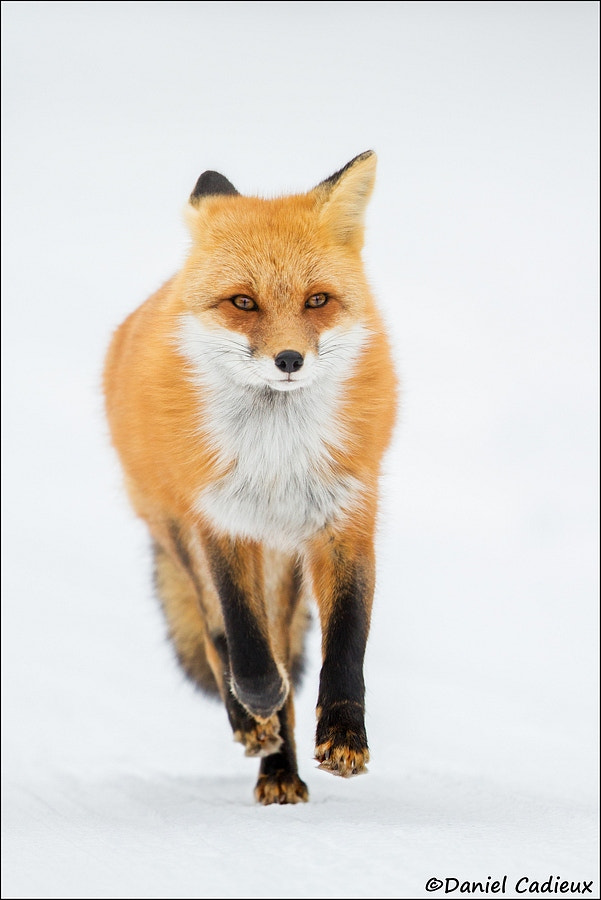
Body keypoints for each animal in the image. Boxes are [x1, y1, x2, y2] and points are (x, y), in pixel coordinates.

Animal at [103, 150, 398, 804]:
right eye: (243, 303)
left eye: (318, 301)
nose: (289, 360)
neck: (276, 458)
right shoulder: (221, 521)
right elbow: (241, 637)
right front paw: (258, 699)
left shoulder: (345, 520)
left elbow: (347, 641)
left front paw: (344, 735)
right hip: (177, 529)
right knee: (220, 640)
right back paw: (255, 726)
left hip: (284, 562)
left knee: (284, 642)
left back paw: (281, 770)